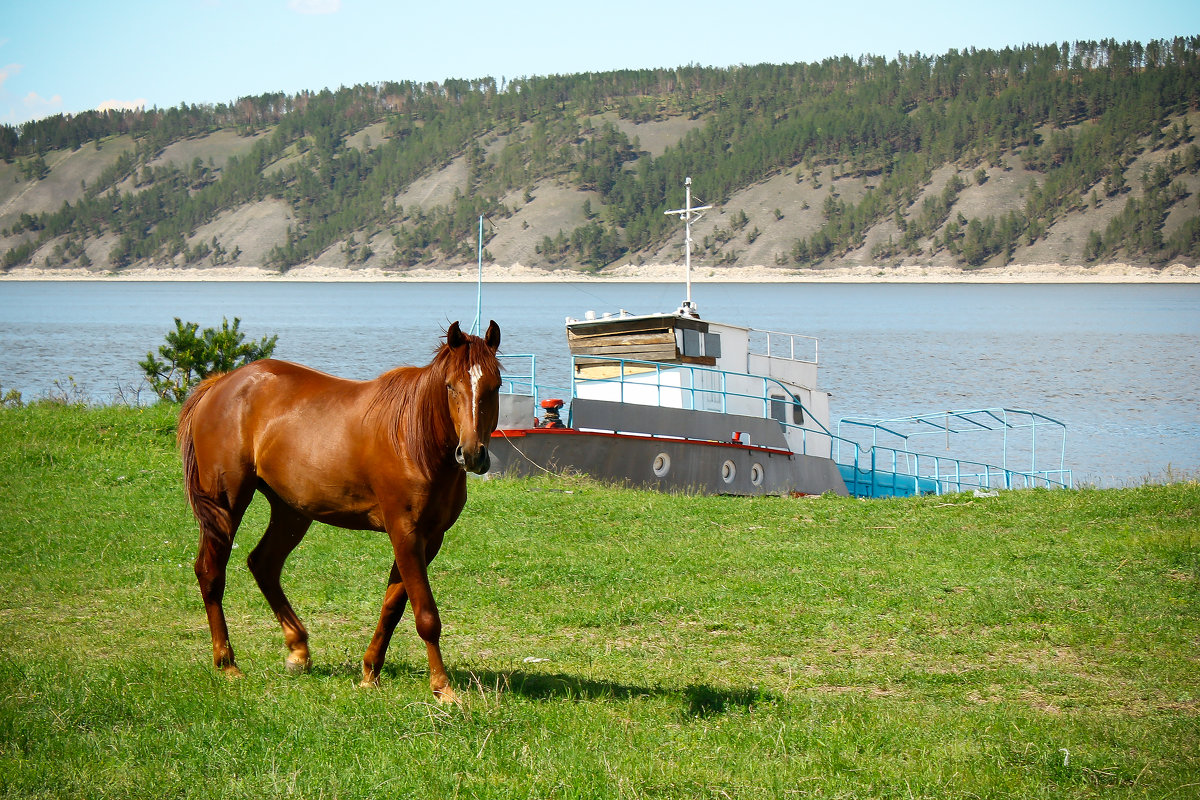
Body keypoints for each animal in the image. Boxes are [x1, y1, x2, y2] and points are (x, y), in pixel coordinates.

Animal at [175, 319, 499, 700]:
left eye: (495, 386)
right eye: (450, 387)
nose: (472, 454)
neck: (413, 439)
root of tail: (220, 384)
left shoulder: (430, 539)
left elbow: (393, 606)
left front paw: (370, 671)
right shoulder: (405, 533)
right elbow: (426, 616)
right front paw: (442, 687)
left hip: (291, 511)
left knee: (264, 564)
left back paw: (298, 650)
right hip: (226, 504)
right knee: (211, 572)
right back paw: (228, 664)